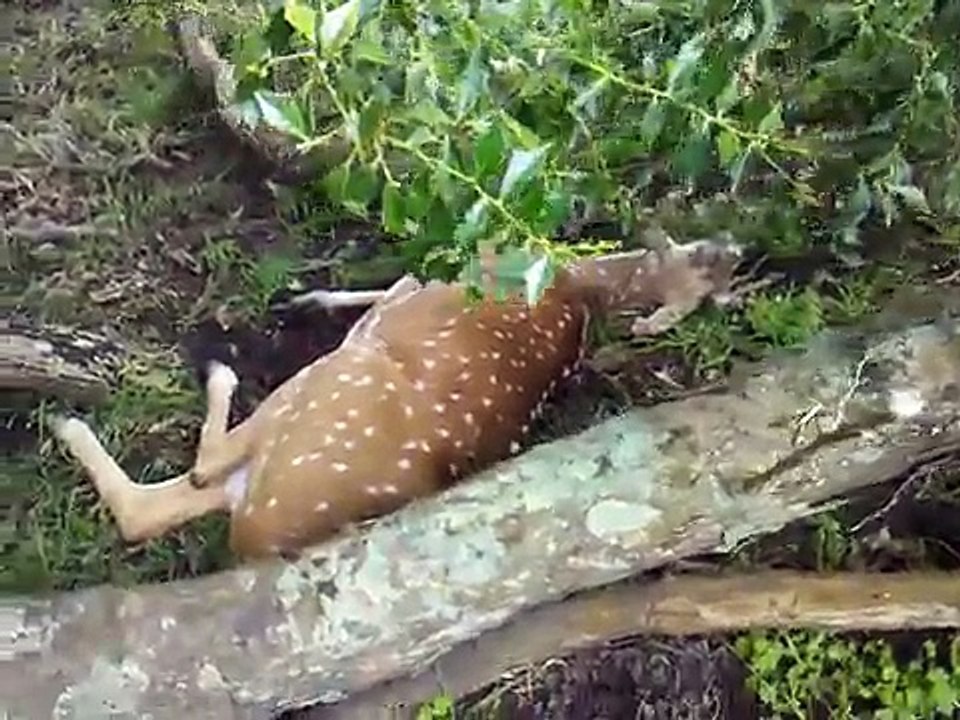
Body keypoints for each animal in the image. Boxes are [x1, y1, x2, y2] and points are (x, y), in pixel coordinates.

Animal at [50, 233, 746, 561]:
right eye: (701, 264)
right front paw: (308, 297)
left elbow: (392, 287)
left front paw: (310, 299)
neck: (575, 283)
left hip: (327, 392)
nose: (733, 248)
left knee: (193, 475)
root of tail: (259, 538)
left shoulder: (433, 279)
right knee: (157, 508)